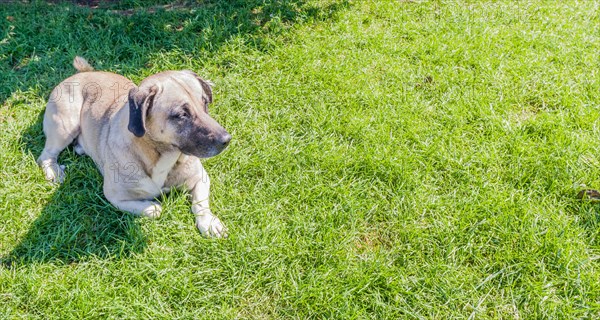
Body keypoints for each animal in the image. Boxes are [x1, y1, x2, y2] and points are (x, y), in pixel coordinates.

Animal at [36, 57, 231, 238]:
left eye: (205, 103)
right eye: (181, 115)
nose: (226, 139)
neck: (160, 156)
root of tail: (81, 74)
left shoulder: (200, 178)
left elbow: (200, 204)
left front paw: (209, 222)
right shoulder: (115, 196)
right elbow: (155, 210)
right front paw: (153, 206)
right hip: (65, 126)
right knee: (46, 155)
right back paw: (54, 171)